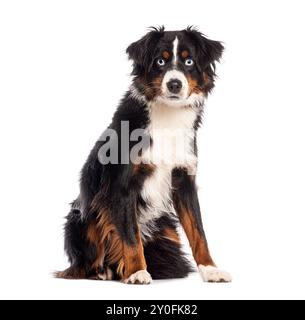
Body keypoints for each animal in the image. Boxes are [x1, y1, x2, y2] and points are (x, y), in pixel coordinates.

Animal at [56, 26, 230, 284]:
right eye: (160, 61)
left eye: (189, 61)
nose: (175, 84)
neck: (168, 117)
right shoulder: (122, 185)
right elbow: (130, 236)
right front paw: (137, 271)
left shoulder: (184, 179)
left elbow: (198, 231)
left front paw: (210, 268)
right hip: (82, 217)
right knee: (86, 261)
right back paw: (105, 271)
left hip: (165, 228)